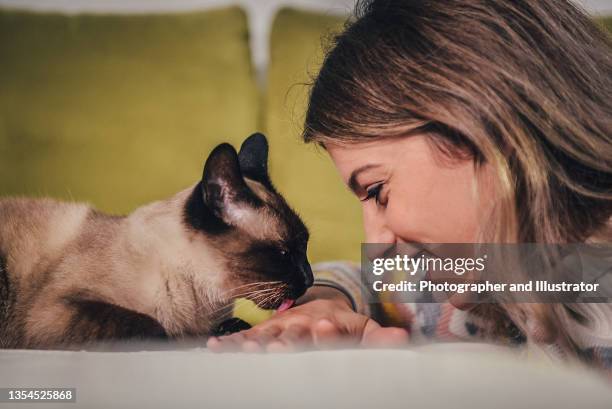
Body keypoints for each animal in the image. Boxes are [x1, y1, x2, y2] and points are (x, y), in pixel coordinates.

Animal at [0, 133, 314, 348]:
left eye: (305, 246)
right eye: (284, 253)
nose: (310, 279)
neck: (205, 304)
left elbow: (235, 324)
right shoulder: (54, 313)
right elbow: (153, 326)